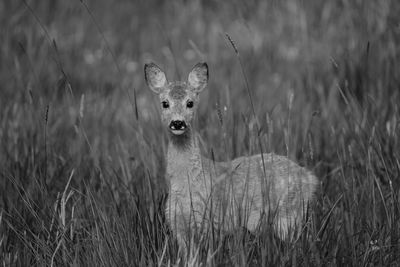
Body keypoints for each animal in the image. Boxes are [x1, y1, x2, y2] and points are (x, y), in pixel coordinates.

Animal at [145, 61, 318, 258]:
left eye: (190, 103)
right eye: (164, 103)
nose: (177, 123)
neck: (188, 182)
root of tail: (310, 178)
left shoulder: (211, 220)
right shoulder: (177, 224)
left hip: (290, 213)